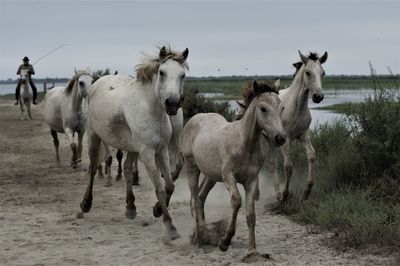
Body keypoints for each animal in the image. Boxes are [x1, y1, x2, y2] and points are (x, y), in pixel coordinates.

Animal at [80, 46, 190, 243]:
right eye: (162, 72)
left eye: (182, 75)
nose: (172, 103)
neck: (151, 110)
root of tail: (97, 83)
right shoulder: (147, 153)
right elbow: (159, 188)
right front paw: (169, 227)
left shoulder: (161, 150)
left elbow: (170, 185)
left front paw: (157, 210)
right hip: (94, 137)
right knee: (93, 168)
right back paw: (86, 204)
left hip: (131, 147)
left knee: (127, 169)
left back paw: (130, 207)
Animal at [268, 50, 328, 202]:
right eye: (307, 72)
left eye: (323, 73)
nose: (318, 97)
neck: (296, 107)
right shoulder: (286, 139)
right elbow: (288, 166)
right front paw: (285, 195)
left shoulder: (303, 135)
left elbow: (312, 155)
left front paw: (306, 193)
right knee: (272, 163)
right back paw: (277, 193)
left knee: (272, 163)